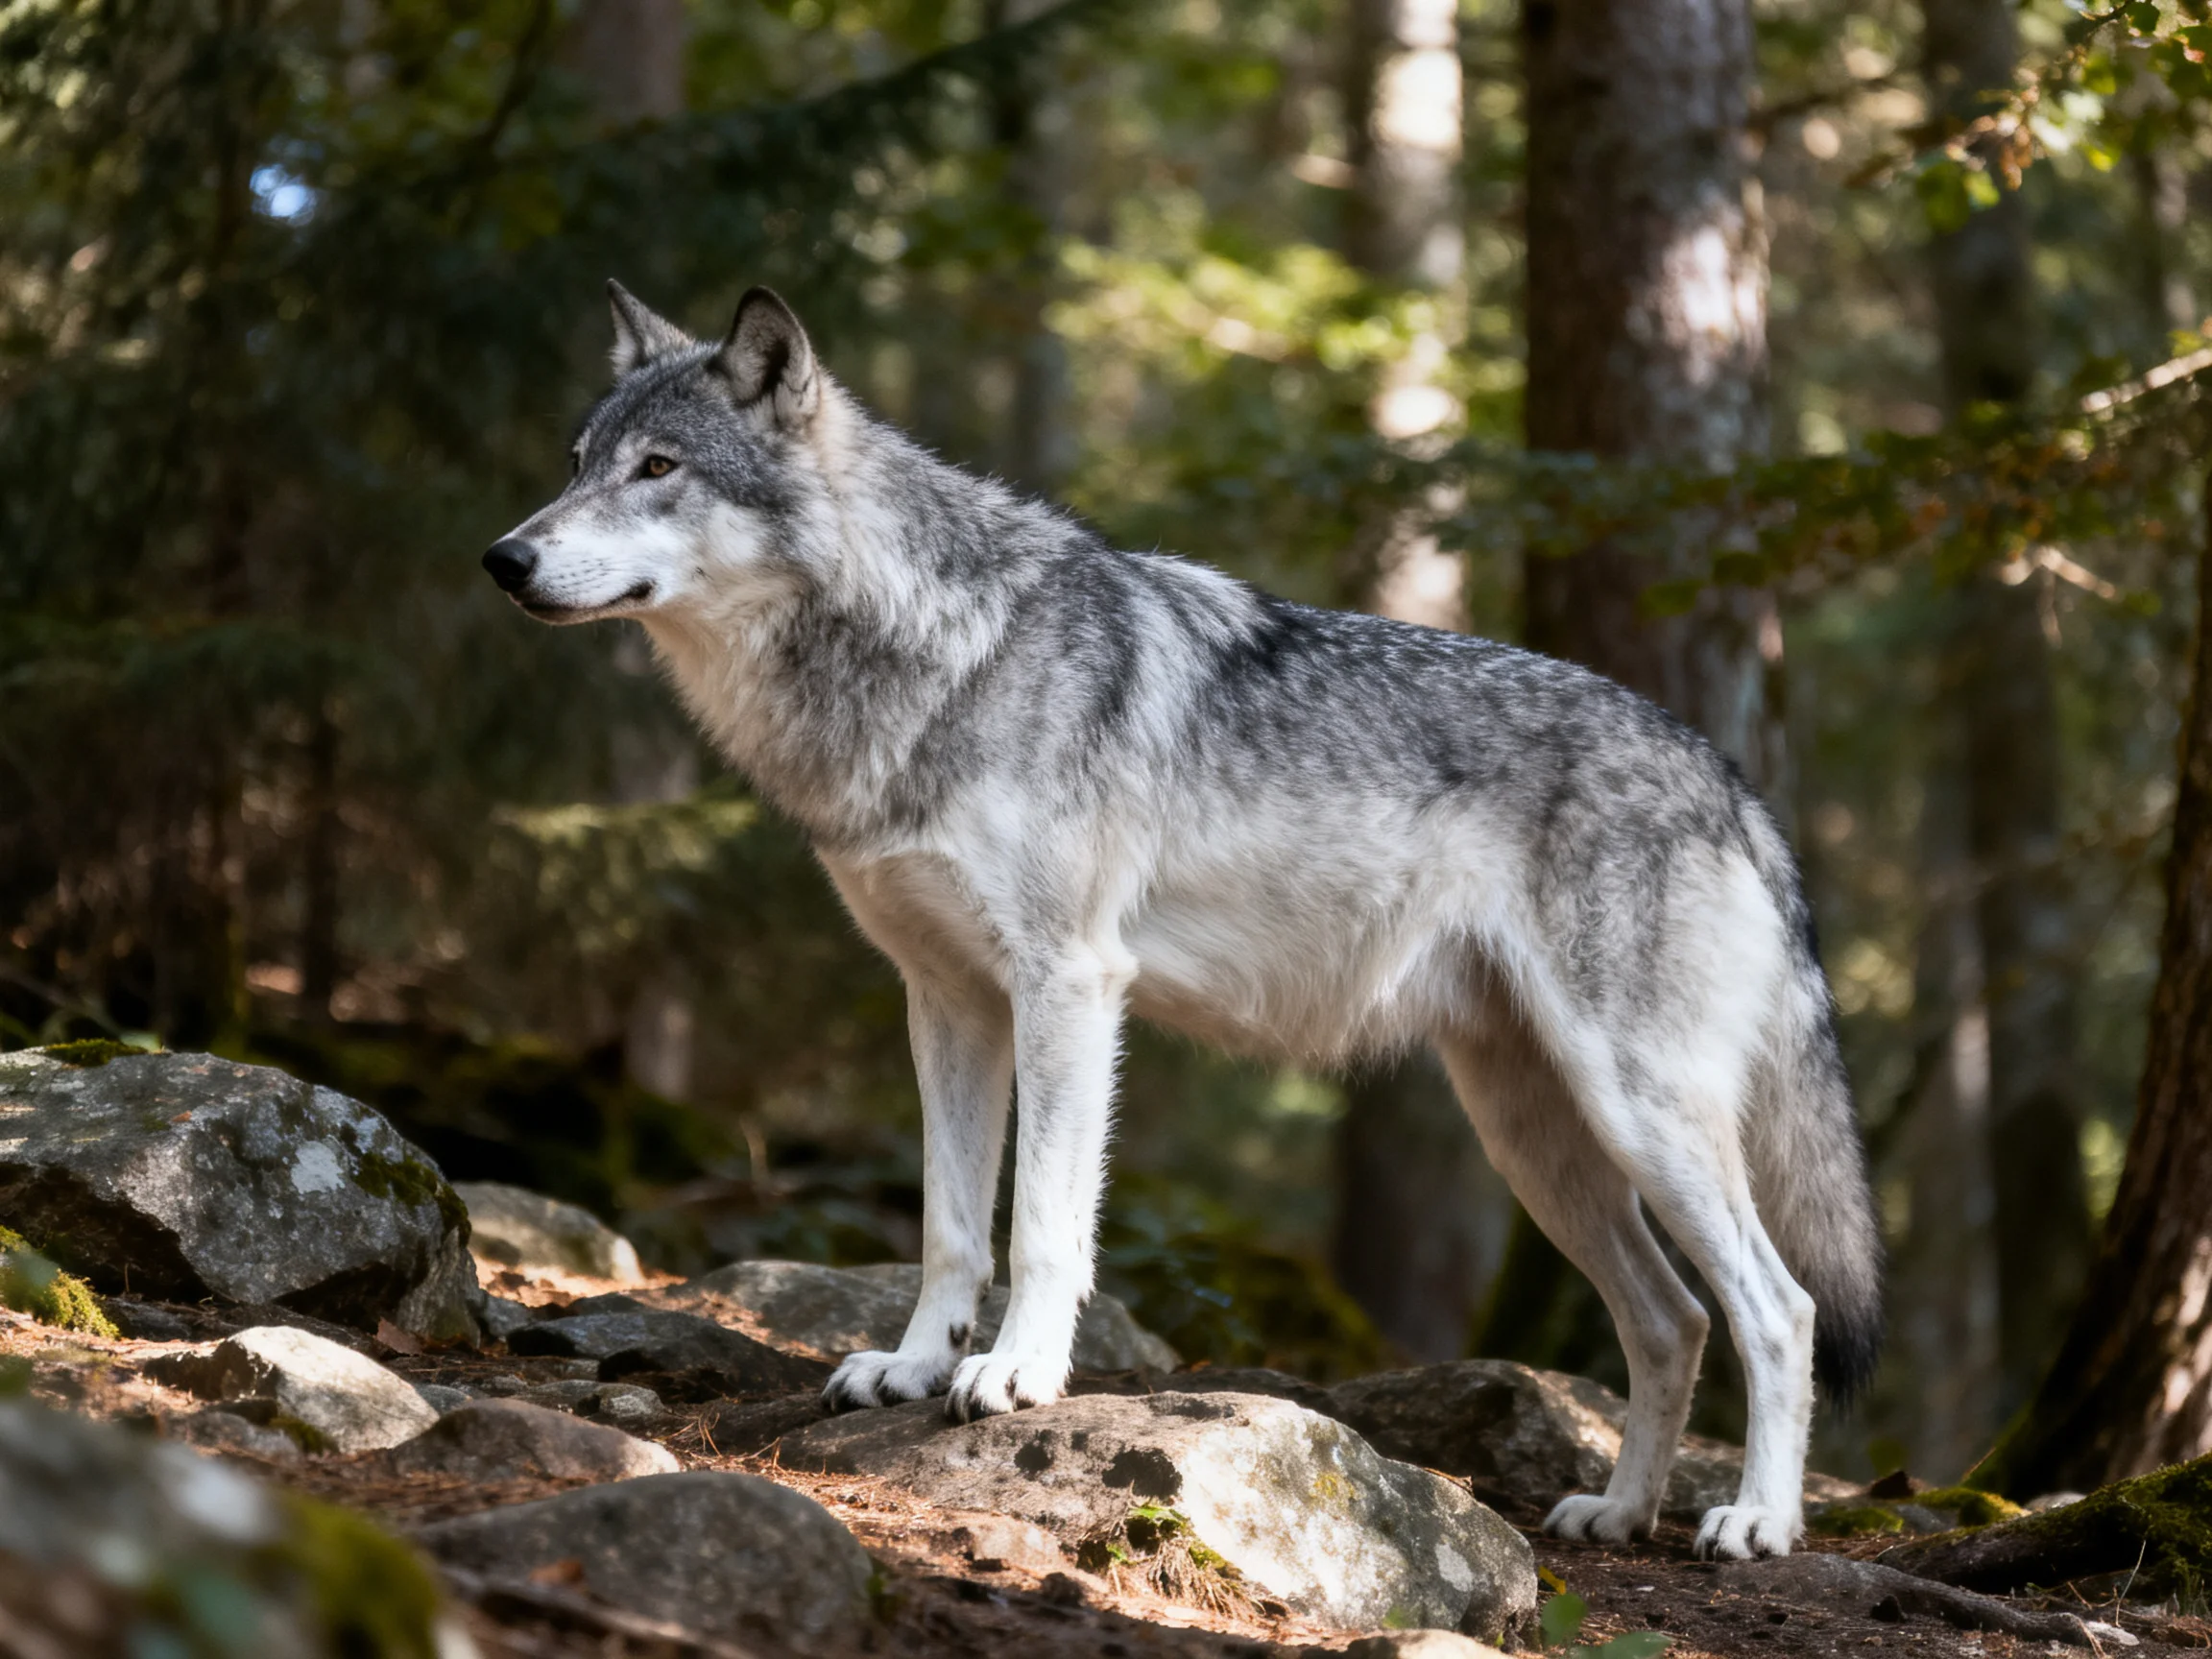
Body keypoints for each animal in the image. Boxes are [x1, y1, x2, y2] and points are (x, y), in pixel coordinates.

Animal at [484, 282, 1884, 1559]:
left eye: (658, 468)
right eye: (576, 465)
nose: (503, 559)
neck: (935, 654)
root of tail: (1733, 781)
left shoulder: (1067, 988)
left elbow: (1043, 1221)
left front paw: (1016, 1376)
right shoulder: (945, 1001)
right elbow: (948, 1227)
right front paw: (912, 1368)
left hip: (1636, 1114)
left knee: (1779, 1310)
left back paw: (1756, 1522)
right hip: (1539, 1139)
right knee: (1673, 1319)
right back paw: (1621, 1512)